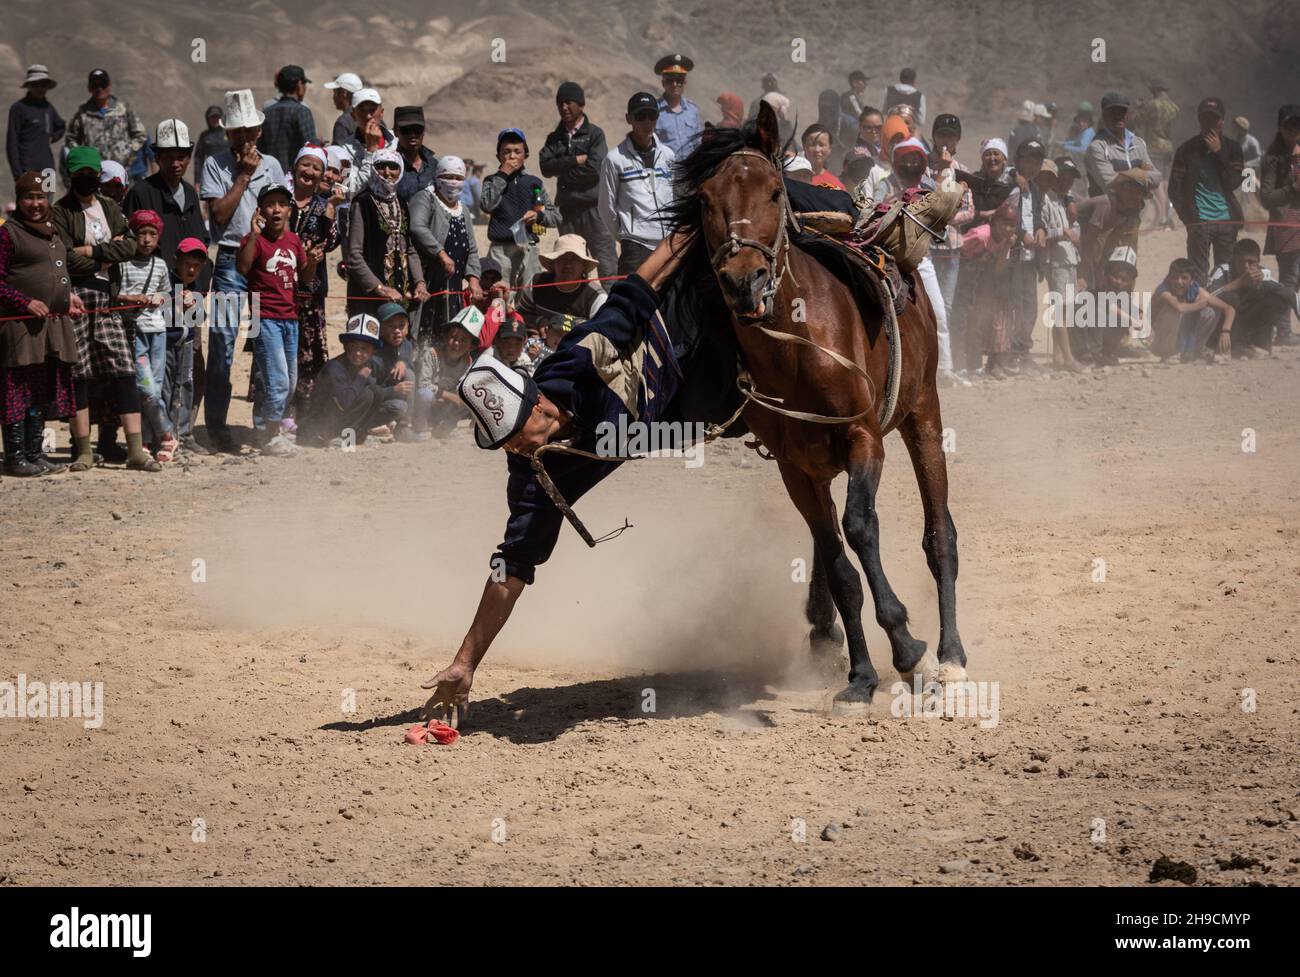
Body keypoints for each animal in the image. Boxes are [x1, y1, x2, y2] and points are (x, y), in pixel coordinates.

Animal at [670, 103, 967, 706]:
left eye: (773, 192)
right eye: (706, 199)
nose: (743, 282)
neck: (800, 347)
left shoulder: (863, 439)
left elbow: (859, 528)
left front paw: (908, 646)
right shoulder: (795, 466)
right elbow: (836, 560)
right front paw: (861, 676)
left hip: (921, 411)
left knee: (939, 535)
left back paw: (950, 656)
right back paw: (827, 635)